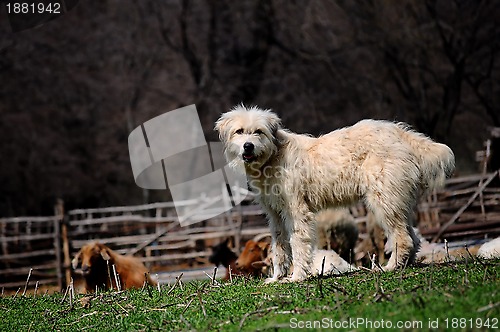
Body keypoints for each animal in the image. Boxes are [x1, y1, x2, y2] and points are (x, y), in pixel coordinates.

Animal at [213, 105, 456, 282]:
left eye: (258, 132)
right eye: (239, 131)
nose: (248, 146)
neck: (273, 155)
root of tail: (400, 132)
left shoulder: (297, 212)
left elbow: (298, 244)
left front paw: (297, 276)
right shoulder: (275, 215)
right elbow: (280, 247)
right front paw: (277, 278)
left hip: (384, 202)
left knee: (402, 237)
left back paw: (391, 267)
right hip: (397, 203)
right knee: (412, 236)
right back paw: (407, 264)